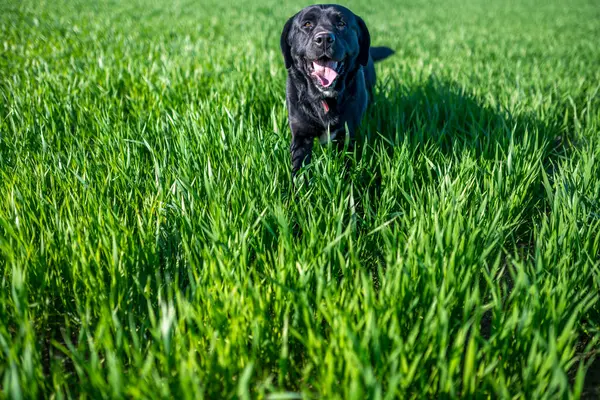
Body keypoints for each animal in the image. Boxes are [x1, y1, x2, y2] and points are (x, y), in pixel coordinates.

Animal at [280, 4, 394, 173]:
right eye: (307, 24)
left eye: (341, 24)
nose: (324, 39)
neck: (325, 98)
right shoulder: (301, 134)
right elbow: (299, 168)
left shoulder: (347, 134)